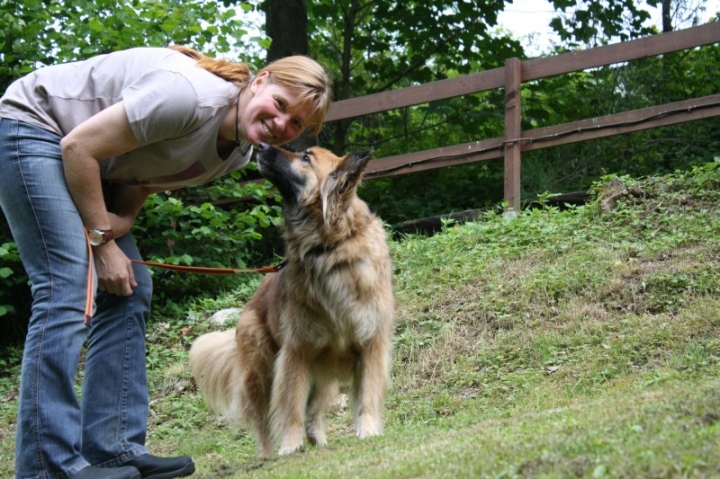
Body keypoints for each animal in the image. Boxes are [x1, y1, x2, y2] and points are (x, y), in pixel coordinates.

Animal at [188, 142, 396, 458]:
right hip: (260, 371)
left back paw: (318, 440)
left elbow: (367, 396)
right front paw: (290, 445)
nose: (260, 145)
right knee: (262, 422)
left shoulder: (371, 342)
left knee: (314, 412)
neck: (329, 247)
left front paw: (368, 430)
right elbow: (291, 406)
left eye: (305, 157)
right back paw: (267, 456)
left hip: (323, 371)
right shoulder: (297, 353)